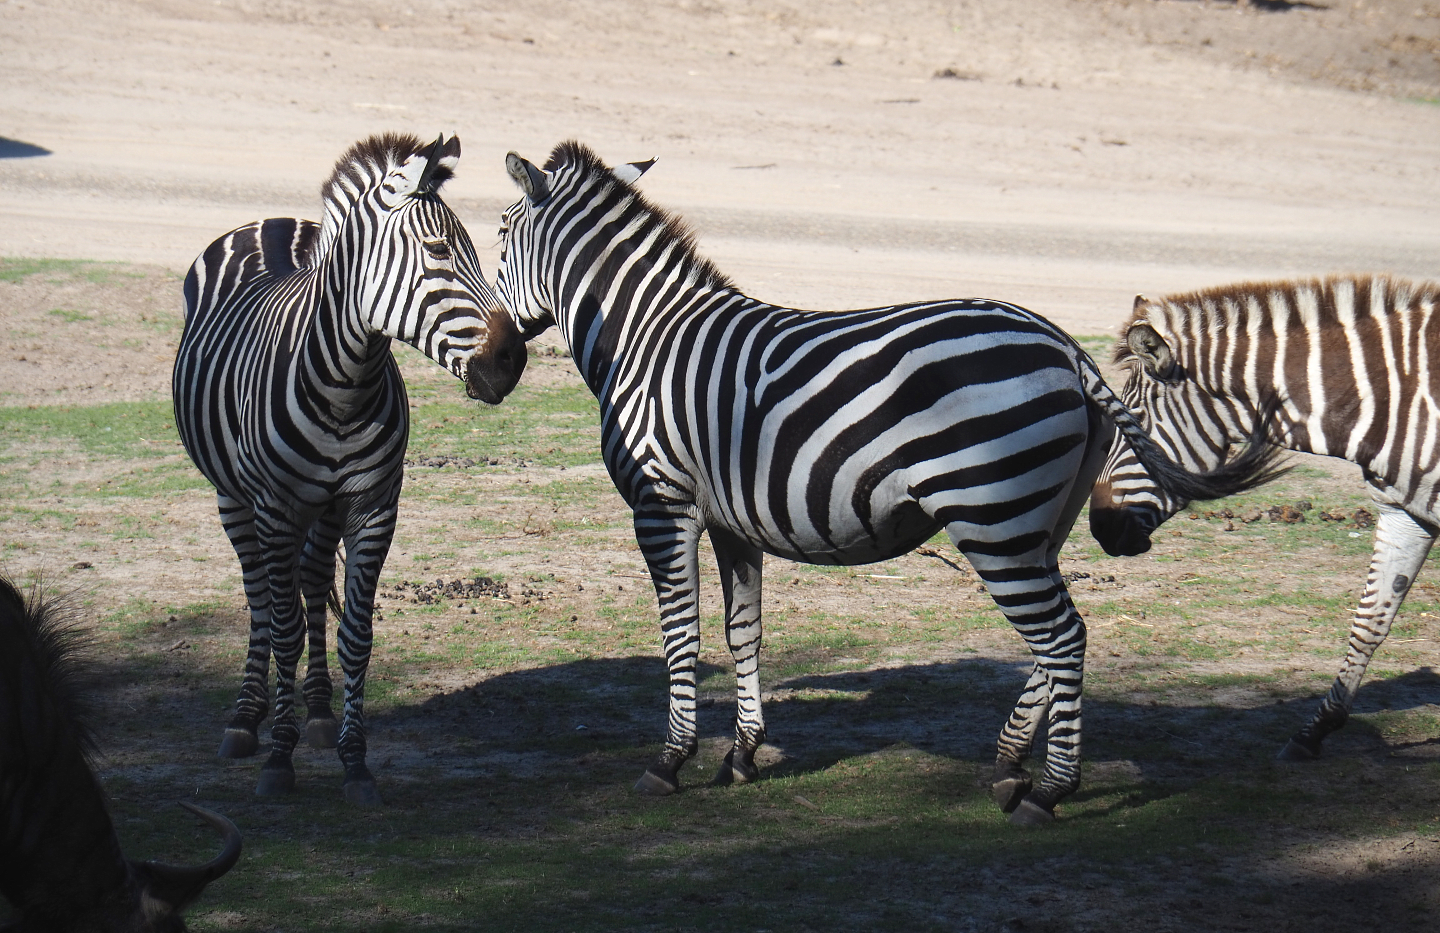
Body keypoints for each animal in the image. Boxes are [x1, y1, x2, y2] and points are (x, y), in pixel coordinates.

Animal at [172, 132, 527, 805]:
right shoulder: (275, 507)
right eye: (440, 250)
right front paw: (277, 759)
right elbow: (282, 627)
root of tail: (272, 222)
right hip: (234, 497)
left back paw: (314, 712)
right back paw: (247, 718)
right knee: (260, 597)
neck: (344, 386)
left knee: (311, 581)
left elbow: (356, 634)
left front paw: (354, 759)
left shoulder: (372, 506)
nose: (512, 360)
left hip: (325, 507)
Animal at [492, 141, 1280, 823]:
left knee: (1062, 636)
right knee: (1057, 636)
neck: (644, 338)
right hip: (1034, 521)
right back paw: (1008, 767)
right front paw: (742, 754)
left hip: (990, 517)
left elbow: (680, 632)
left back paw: (1050, 790)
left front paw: (670, 759)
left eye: (497, 241)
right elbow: (743, 630)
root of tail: (1063, 345)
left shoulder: (663, 504)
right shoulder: (728, 520)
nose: (495, 367)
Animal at [1090, 274, 1440, 761]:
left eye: (1133, 420)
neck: (1394, 398)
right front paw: (1314, 732)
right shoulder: (1404, 513)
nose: (1098, 526)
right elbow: (1370, 620)